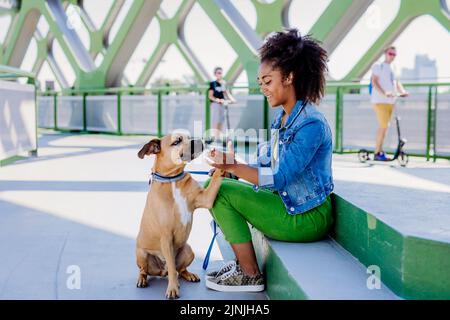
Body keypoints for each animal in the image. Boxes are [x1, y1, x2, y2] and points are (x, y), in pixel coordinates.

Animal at [135, 134, 223, 298]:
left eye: (189, 137)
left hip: (188, 250)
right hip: (141, 254)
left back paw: (188, 275)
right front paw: (173, 288)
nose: (198, 141)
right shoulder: (166, 236)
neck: (172, 180)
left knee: (179, 270)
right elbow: (171, 266)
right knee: (148, 270)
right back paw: (142, 279)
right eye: (176, 141)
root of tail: (161, 271)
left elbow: (215, 178)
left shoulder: (206, 198)